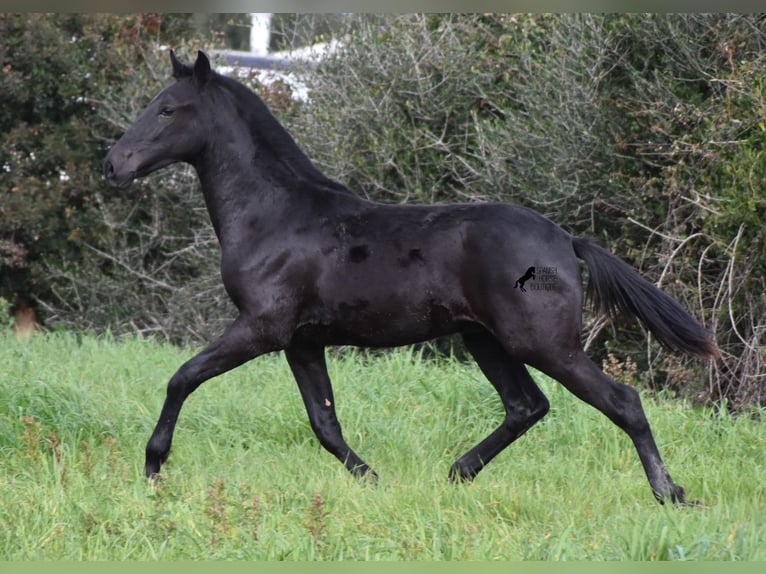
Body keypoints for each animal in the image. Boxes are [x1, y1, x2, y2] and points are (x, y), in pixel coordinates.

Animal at [103, 51, 720, 506]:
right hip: (485, 339)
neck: (275, 215)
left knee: (622, 401)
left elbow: (182, 378)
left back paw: (671, 494)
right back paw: (458, 473)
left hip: (542, 342)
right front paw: (371, 479)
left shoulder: (262, 328)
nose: (114, 165)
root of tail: (566, 241)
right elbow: (324, 423)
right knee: (527, 405)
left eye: (168, 109)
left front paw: (153, 467)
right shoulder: (302, 341)